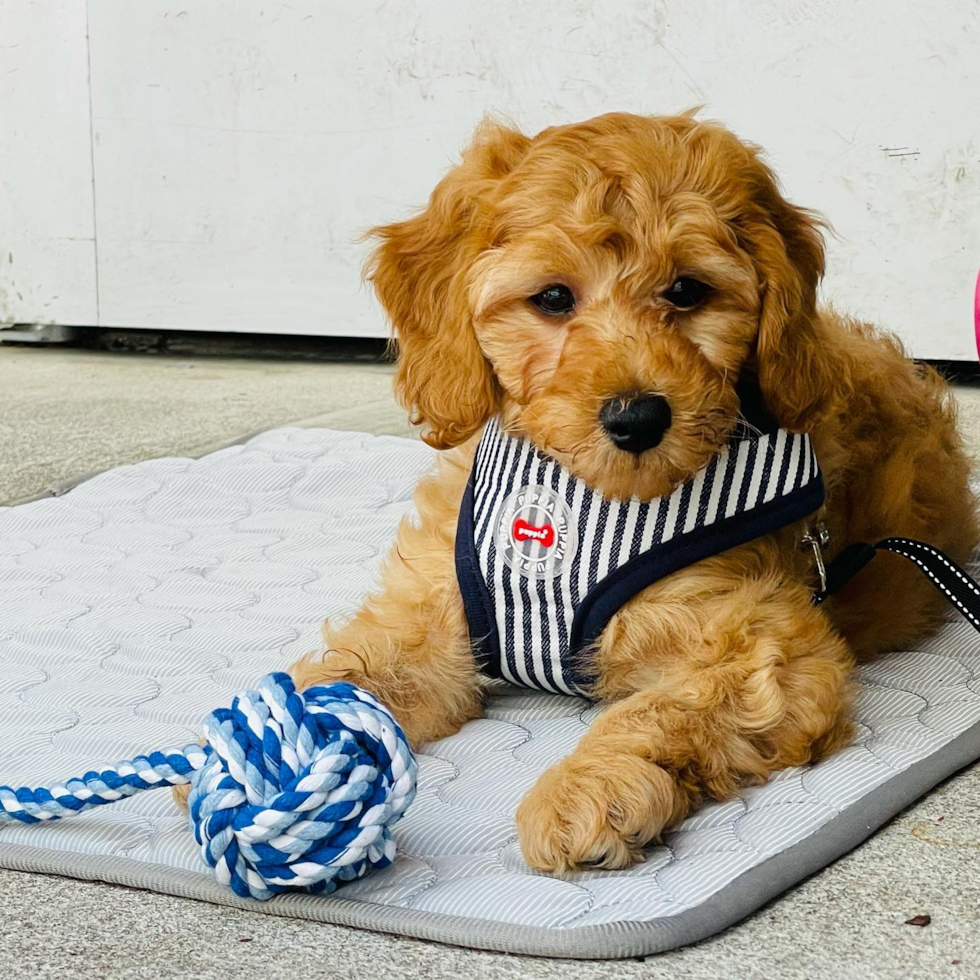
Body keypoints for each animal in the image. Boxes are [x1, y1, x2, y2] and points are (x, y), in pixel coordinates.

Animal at [288, 113, 976, 872]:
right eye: (553, 298)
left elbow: (661, 707)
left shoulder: (764, 645)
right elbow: (369, 668)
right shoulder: (436, 609)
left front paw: (585, 788)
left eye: (687, 291)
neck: (584, 497)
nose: (637, 417)